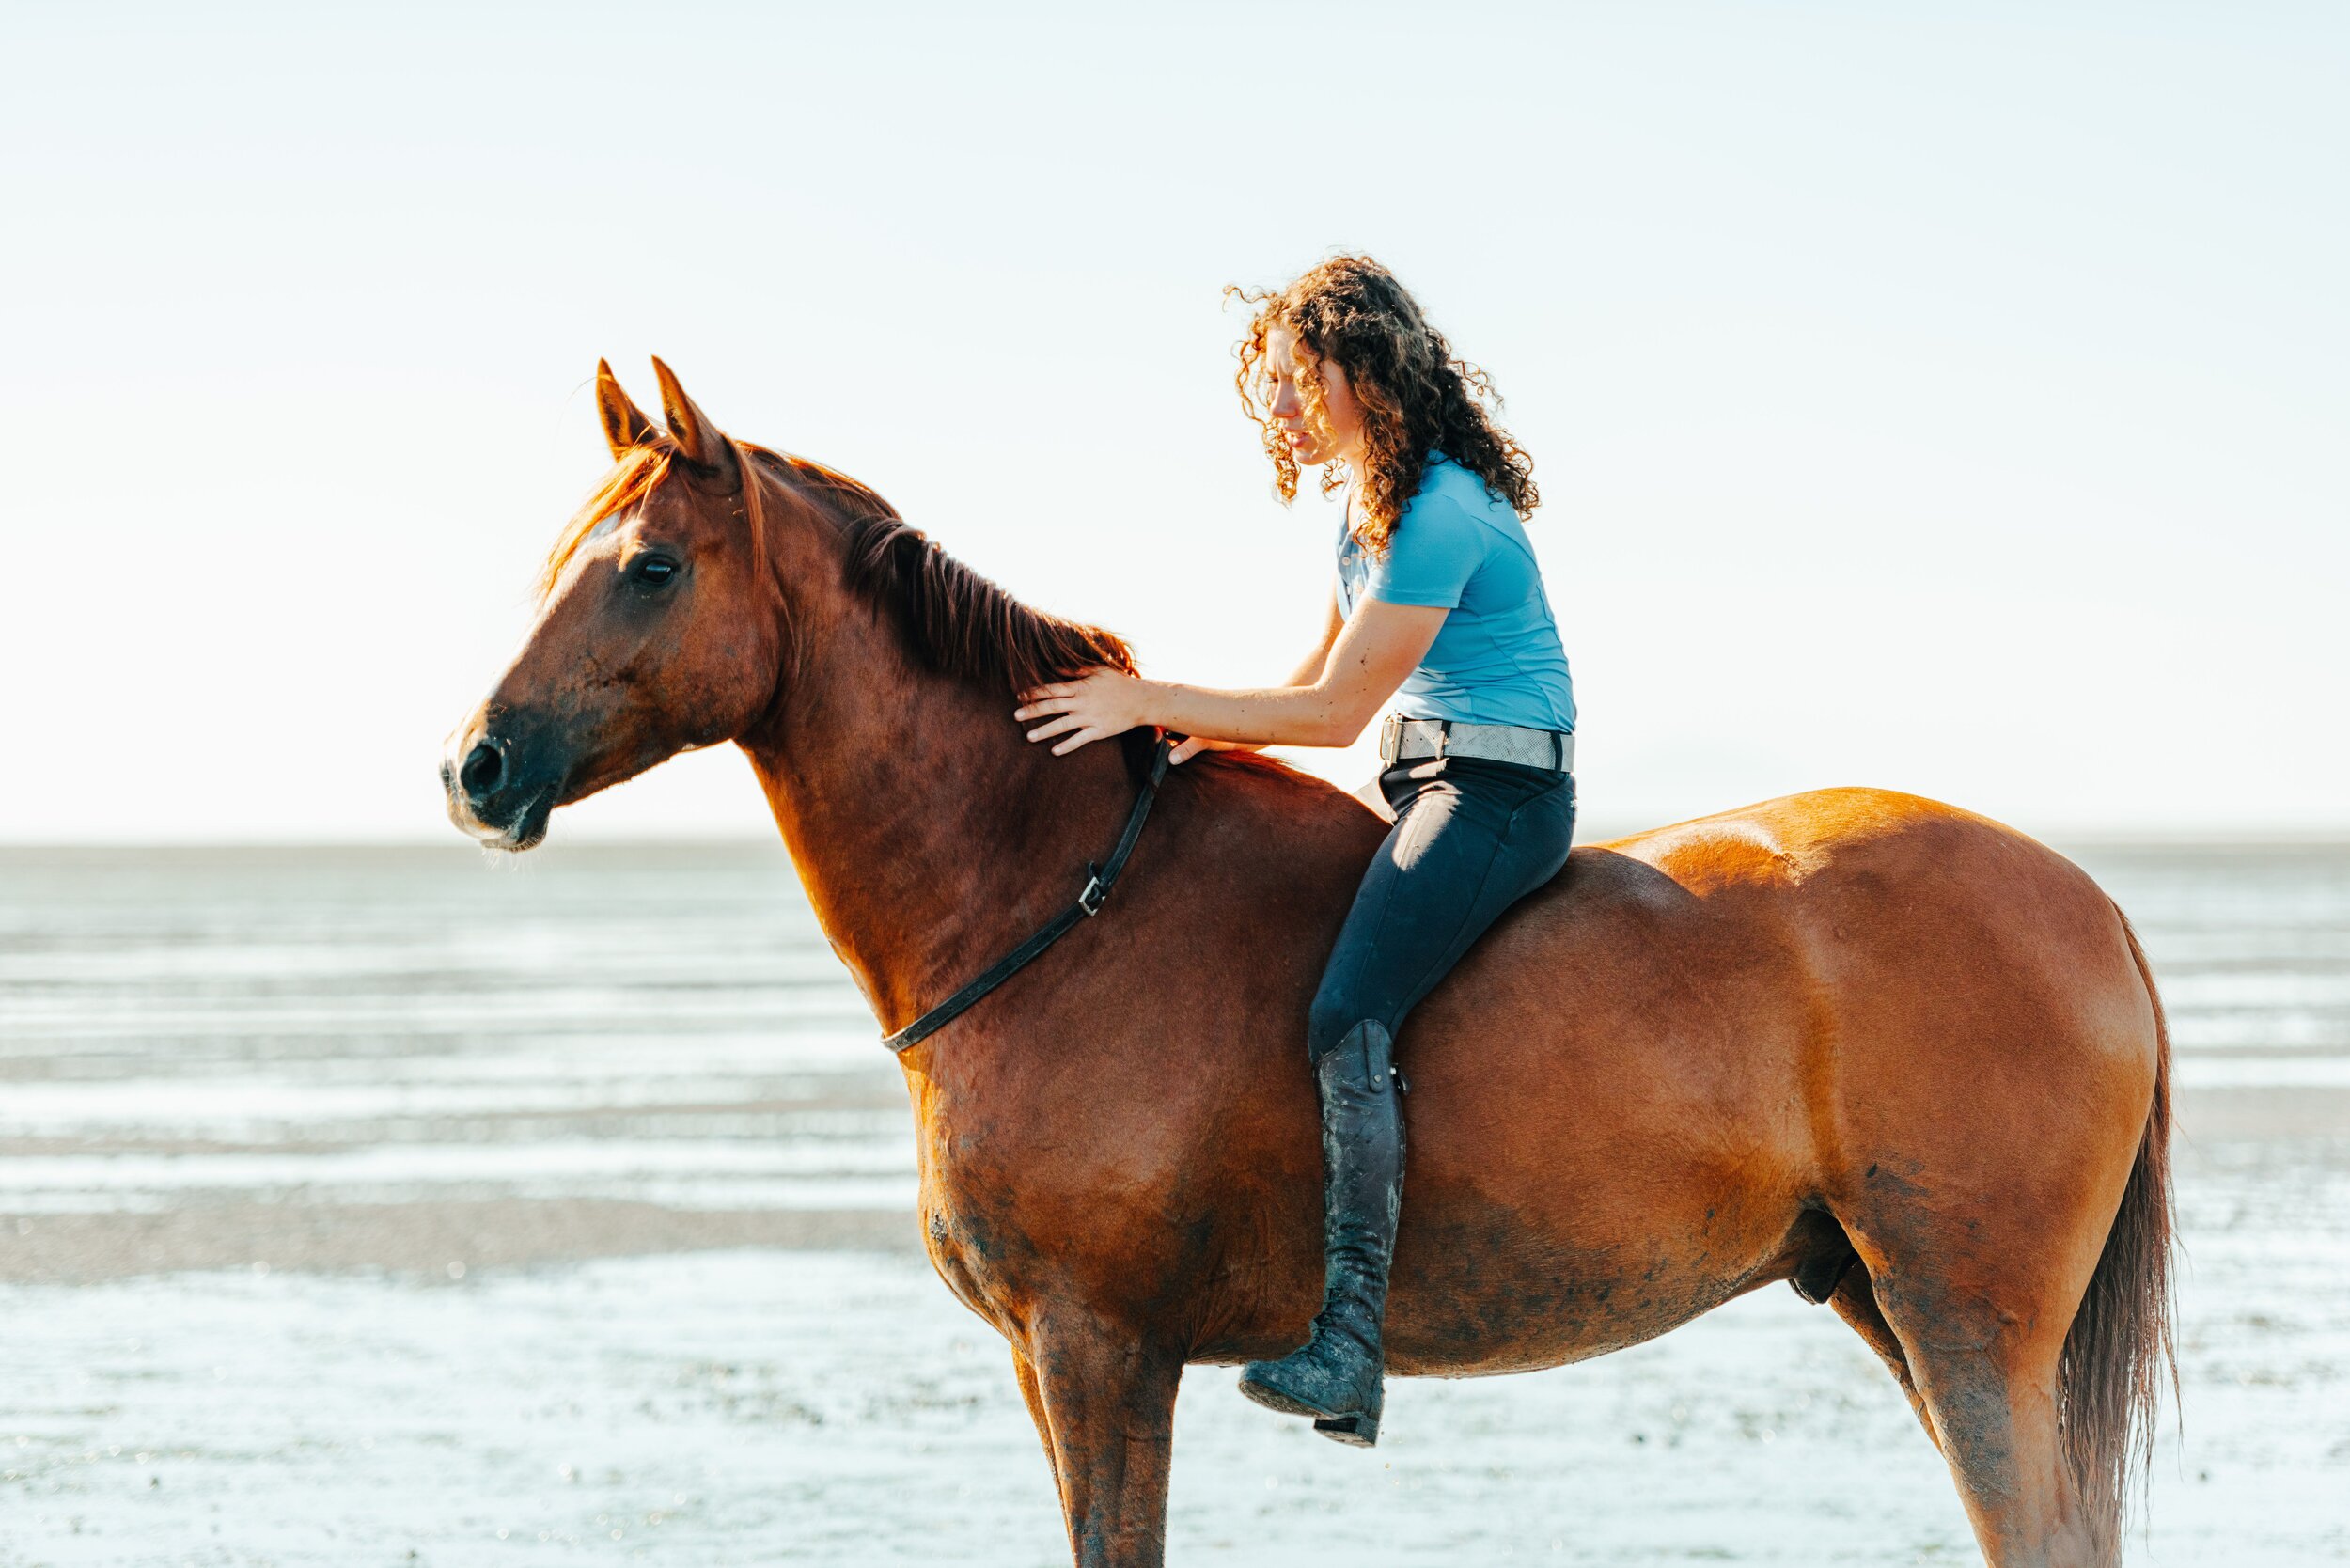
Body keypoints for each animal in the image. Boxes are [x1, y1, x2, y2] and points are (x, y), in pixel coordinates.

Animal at [442, 360, 2174, 1567]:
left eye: (650, 567)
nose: (475, 767)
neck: (1056, 894)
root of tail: (2089, 905)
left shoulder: (1100, 1350)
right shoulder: (1052, 1365)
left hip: (1964, 1325)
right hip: (1887, 1300)